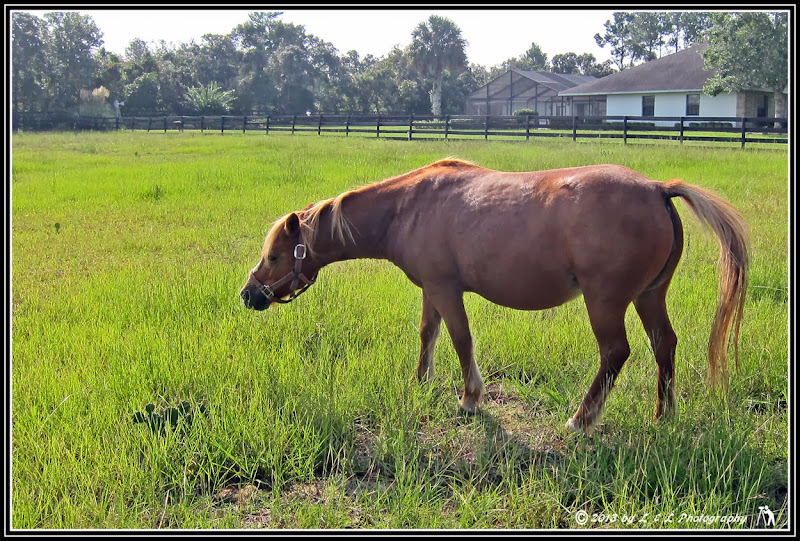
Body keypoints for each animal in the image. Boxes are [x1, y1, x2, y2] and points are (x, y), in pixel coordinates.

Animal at [240, 159, 748, 435]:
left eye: (274, 255)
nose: (248, 295)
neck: (408, 207)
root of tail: (658, 189)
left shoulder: (447, 290)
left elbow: (461, 341)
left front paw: (469, 399)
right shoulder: (432, 289)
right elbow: (427, 334)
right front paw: (419, 382)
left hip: (605, 303)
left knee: (615, 353)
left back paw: (581, 420)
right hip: (648, 297)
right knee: (664, 346)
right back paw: (664, 415)